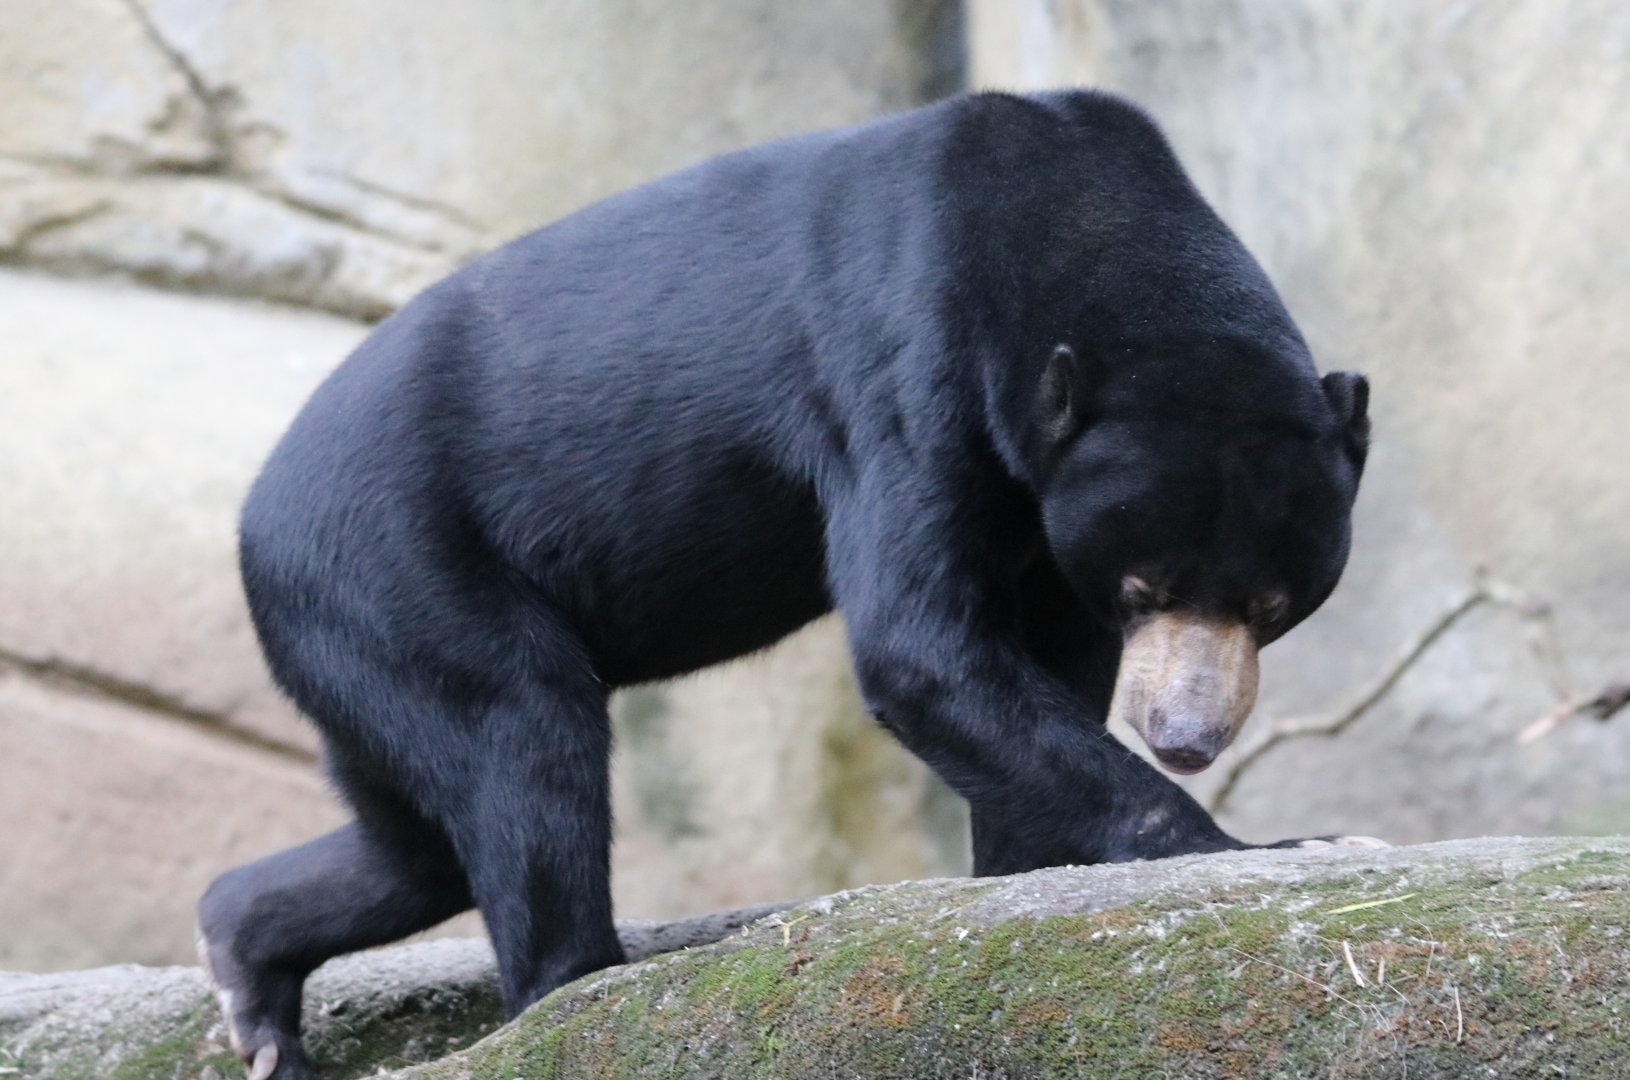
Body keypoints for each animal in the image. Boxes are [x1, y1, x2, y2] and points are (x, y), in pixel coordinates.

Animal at [198, 89, 1371, 1080]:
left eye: (1271, 607)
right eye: (1141, 587)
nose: (1188, 738)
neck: (1069, 210)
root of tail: (255, 527)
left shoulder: (1039, 511)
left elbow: (1040, 666)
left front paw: (1026, 878)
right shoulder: (905, 367)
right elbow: (918, 648)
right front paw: (1271, 846)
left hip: (362, 633)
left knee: (415, 840)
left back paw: (248, 980)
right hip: (404, 567)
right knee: (520, 745)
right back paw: (579, 982)